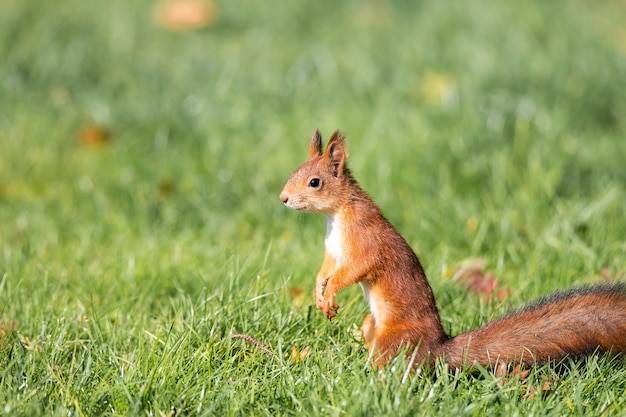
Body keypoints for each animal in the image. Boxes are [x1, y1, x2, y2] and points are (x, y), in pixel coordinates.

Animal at [280, 128, 624, 368]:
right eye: (293, 172)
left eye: (314, 182)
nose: (283, 198)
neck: (335, 216)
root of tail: (436, 347)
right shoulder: (333, 251)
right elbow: (325, 269)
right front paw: (319, 292)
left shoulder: (366, 243)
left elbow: (354, 270)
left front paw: (331, 294)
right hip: (370, 326)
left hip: (394, 339)